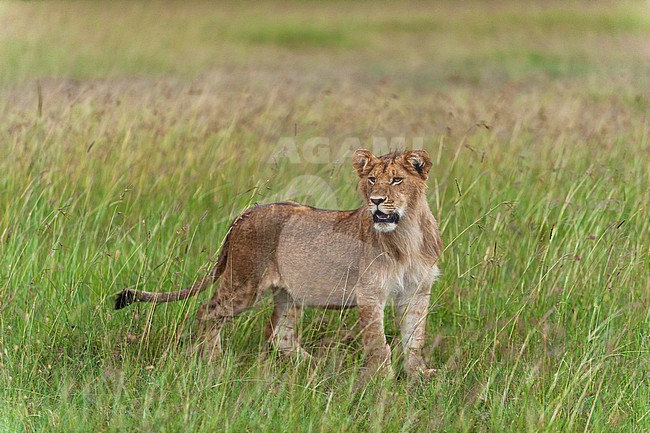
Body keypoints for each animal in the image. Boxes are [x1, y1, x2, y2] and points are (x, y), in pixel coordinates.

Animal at [115, 149, 443, 377]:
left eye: (397, 180)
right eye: (372, 180)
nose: (376, 201)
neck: (407, 234)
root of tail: (246, 213)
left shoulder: (417, 290)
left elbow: (415, 335)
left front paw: (418, 374)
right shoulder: (370, 293)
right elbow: (378, 343)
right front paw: (382, 380)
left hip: (290, 292)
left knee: (279, 333)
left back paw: (316, 366)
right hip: (243, 283)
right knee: (207, 312)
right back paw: (213, 360)